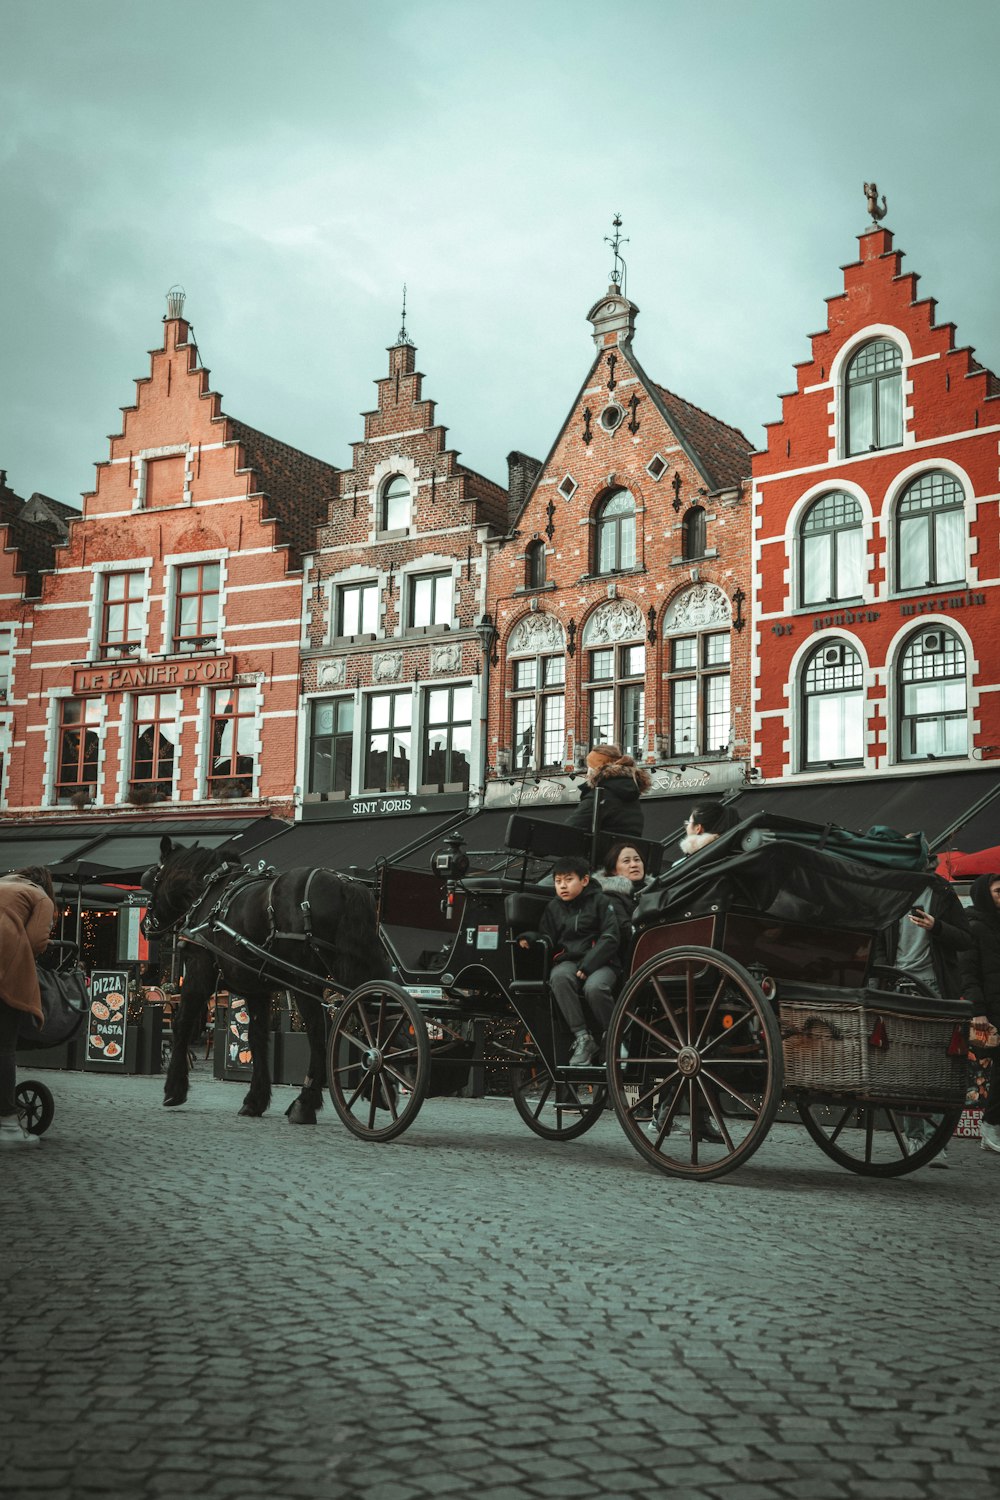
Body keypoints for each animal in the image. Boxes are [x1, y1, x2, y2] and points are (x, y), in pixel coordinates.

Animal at [142, 840, 386, 1122]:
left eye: (155, 878)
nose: (145, 926)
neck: (210, 892)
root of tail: (345, 885)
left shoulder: (198, 971)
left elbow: (182, 1023)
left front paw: (174, 1089)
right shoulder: (256, 989)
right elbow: (257, 1037)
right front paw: (255, 1099)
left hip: (305, 981)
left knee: (320, 1032)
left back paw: (305, 1103)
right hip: (359, 970)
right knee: (379, 1018)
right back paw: (380, 1089)